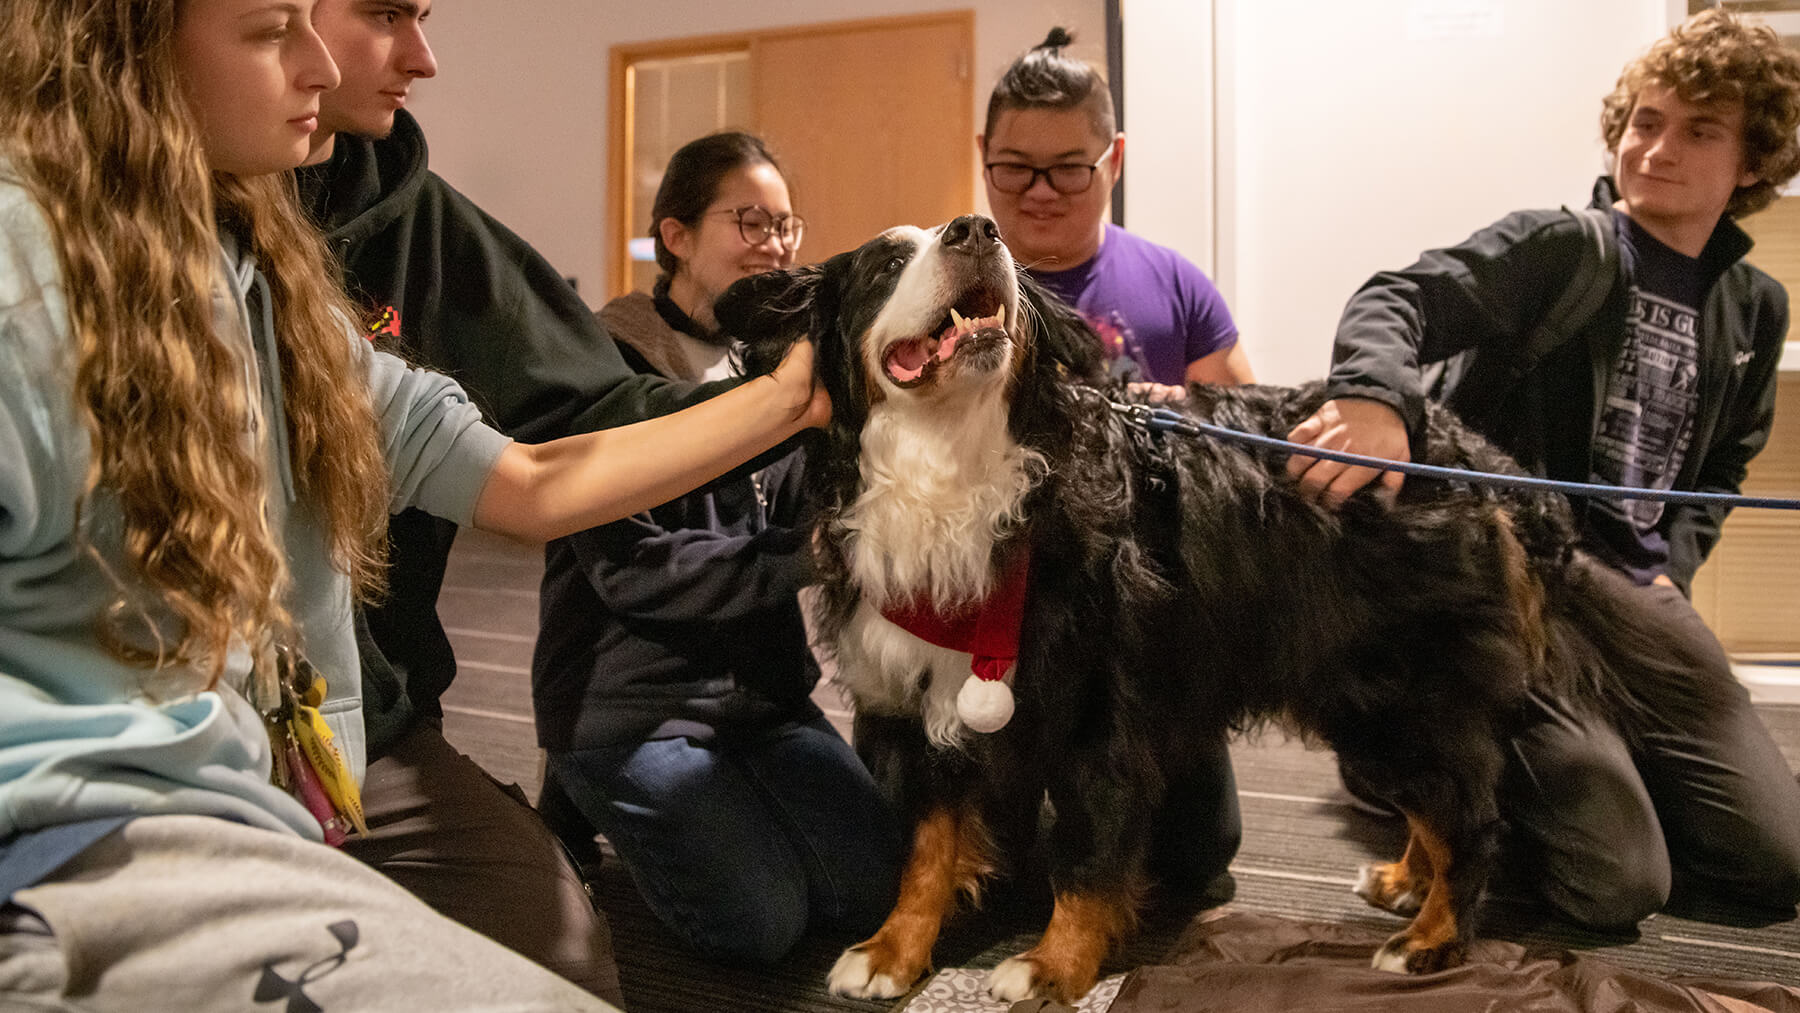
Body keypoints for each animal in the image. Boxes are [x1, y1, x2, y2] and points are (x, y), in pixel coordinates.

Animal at [716, 214, 1742, 1007]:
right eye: (886, 262)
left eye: (959, 231)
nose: (979, 231)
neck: (960, 469)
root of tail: (1468, 456)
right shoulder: (915, 697)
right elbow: (928, 848)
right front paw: (895, 951)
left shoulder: (1101, 712)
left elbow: (1088, 855)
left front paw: (1052, 965)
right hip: (1361, 691)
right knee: (1438, 806)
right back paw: (1407, 882)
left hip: (1405, 691)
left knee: (1469, 814)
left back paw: (1432, 937)